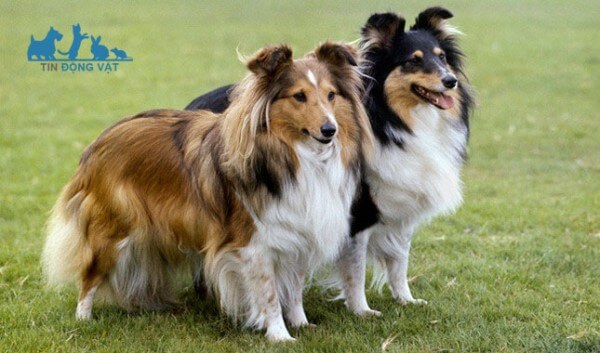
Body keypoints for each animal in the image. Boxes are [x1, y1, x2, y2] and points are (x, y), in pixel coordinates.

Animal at [42, 42, 370, 340]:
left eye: (331, 95)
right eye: (299, 96)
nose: (330, 130)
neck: (294, 157)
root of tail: (100, 140)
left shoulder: (299, 230)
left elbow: (295, 287)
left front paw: (301, 324)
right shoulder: (254, 244)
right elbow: (269, 294)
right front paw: (280, 336)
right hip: (112, 231)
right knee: (89, 277)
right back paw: (84, 319)